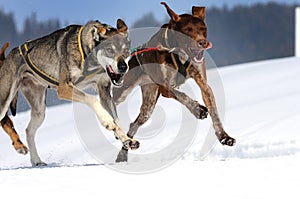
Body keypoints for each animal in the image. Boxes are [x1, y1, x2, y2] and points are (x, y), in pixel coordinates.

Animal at [113, 2, 236, 162]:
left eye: (203, 29)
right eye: (188, 30)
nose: (203, 43)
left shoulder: (203, 85)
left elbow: (214, 112)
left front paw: (224, 137)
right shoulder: (166, 88)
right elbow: (182, 95)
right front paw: (197, 109)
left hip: (149, 103)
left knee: (135, 123)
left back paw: (123, 153)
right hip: (124, 90)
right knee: (110, 104)